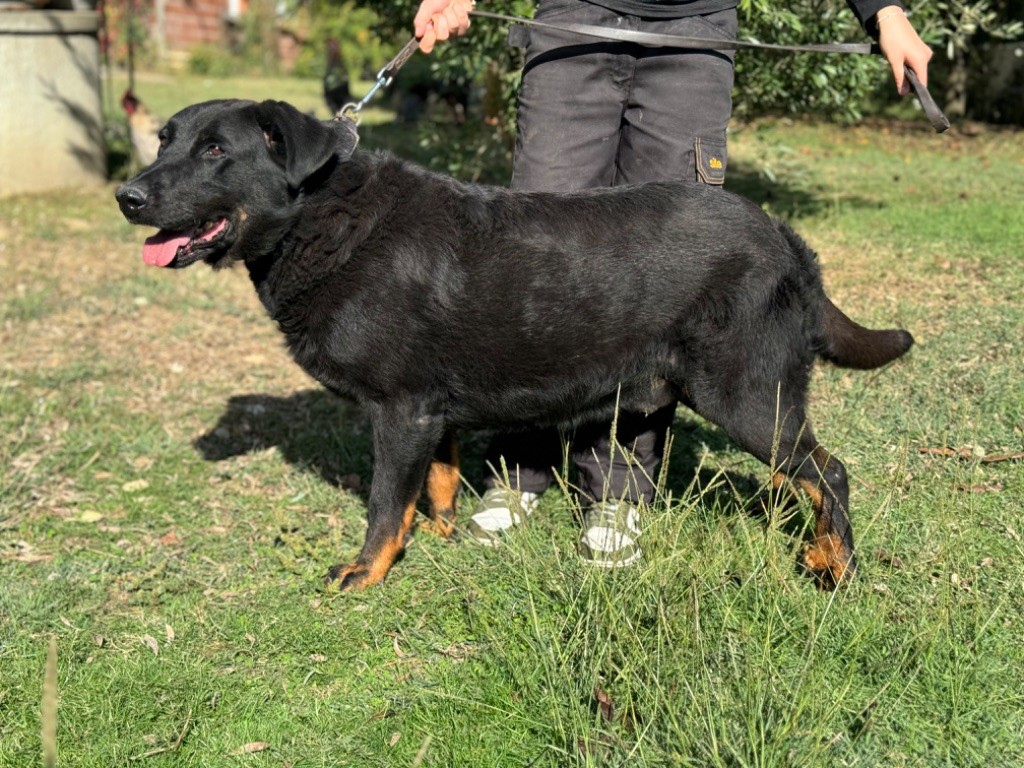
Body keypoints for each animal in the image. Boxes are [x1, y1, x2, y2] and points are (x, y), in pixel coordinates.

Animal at [116, 97, 917, 589]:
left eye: (215, 150)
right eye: (164, 142)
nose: (126, 195)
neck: (327, 220)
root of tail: (783, 236)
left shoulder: (399, 410)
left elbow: (382, 503)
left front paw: (367, 570)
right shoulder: (429, 412)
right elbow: (433, 485)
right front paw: (436, 539)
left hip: (746, 396)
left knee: (830, 472)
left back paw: (839, 568)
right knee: (808, 476)